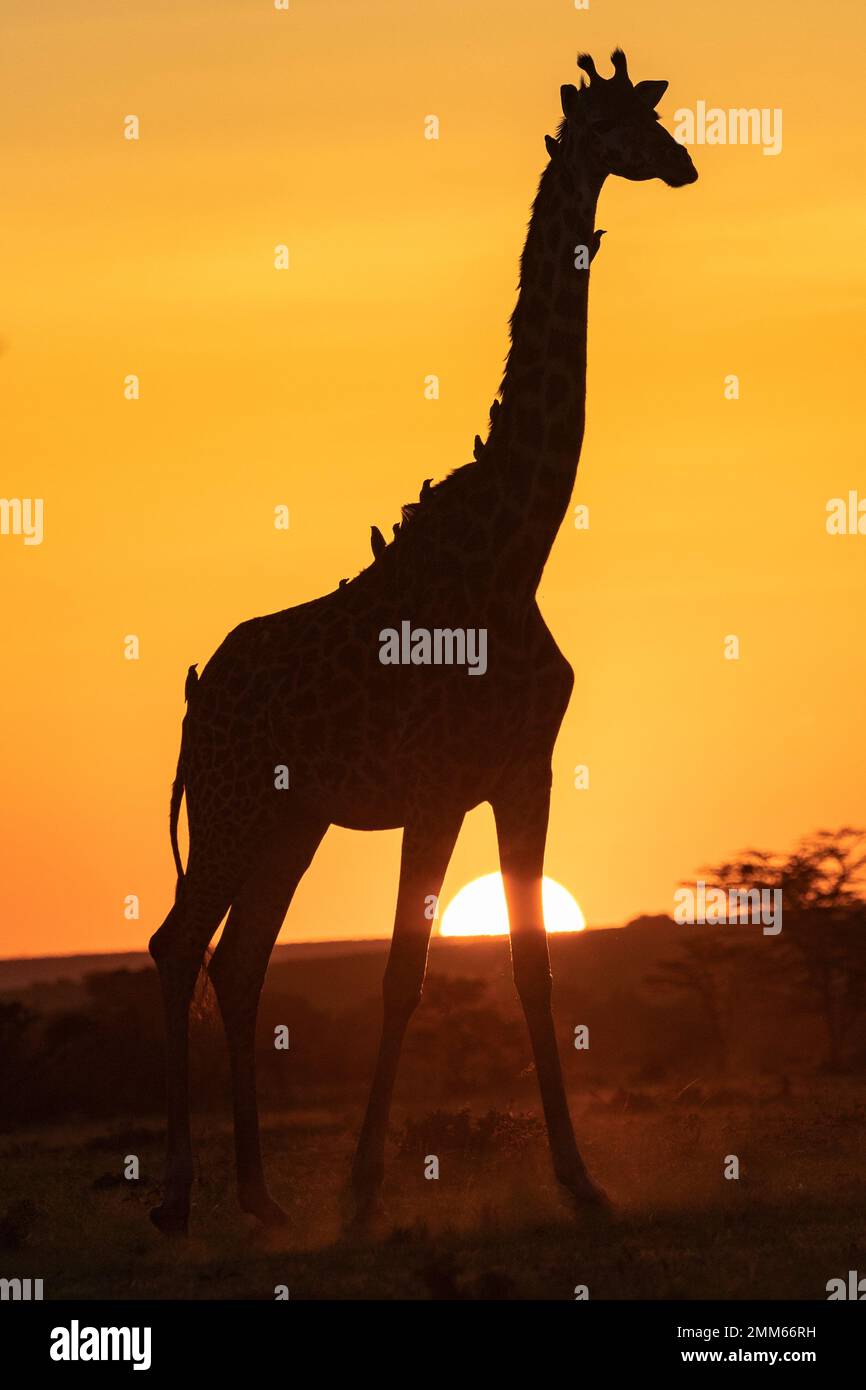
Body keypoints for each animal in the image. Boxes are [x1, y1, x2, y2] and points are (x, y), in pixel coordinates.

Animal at [148, 48, 697, 1234]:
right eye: (620, 128)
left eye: (657, 117)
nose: (684, 164)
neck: (517, 547)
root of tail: (195, 694)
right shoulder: (442, 787)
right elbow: (405, 971)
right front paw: (361, 1191)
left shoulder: (523, 773)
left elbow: (532, 967)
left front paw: (583, 1183)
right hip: (231, 808)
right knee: (177, 945)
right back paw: (176, 1199)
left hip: (291, 818)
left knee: (238, 964)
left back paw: (260, 1196)